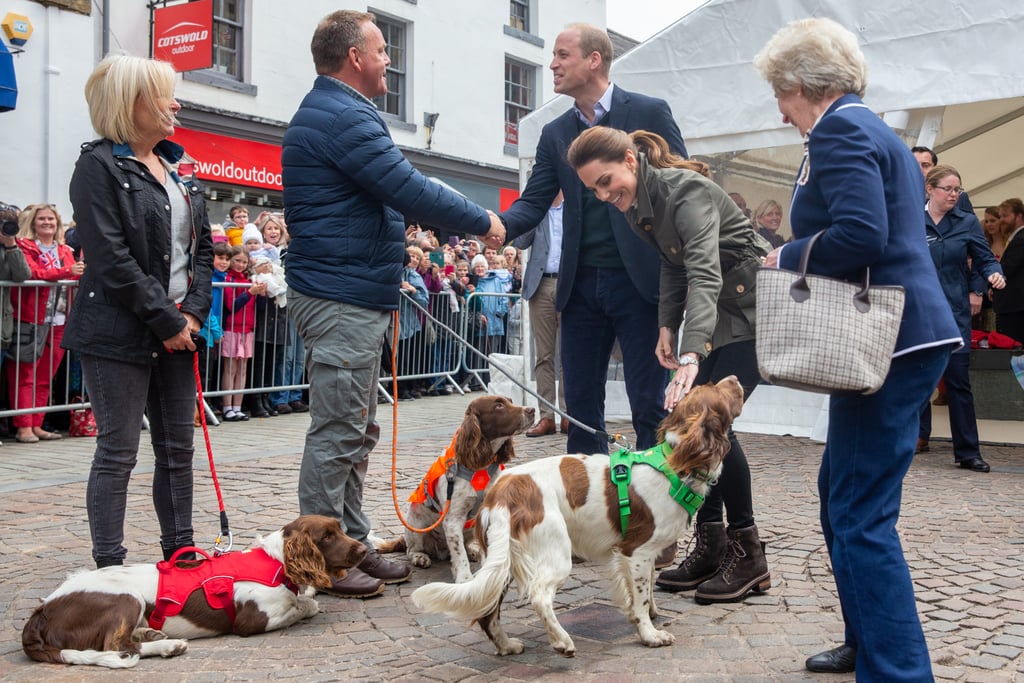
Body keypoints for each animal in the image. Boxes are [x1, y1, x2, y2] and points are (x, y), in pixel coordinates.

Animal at [22, 518, 368, 667]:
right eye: (326, 536)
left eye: (340, 528)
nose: (365, 550)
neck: (277, 562)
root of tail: (41, 613)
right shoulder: (252, 620)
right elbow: (302, 605)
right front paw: (306, 602)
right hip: (125, 599)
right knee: (116, 647)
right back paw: (166, 645)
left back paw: (155, 636)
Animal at [376, 395, 536, 581]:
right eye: (499, 406)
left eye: (510, 401)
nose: (532, 410)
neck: (479, 466)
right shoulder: (453, 520)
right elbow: (459, 555)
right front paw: (465, 579)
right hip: (416, 524)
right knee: (411, 550)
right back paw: (420, 558)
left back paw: (472, 551)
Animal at [413, 376, 745, 659]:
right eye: (717, 389)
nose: (735, 378)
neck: (674, 466)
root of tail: (505, 490)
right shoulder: (636, 551)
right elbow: (640, 595)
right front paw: (650, 633)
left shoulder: (646, 554)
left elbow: (647, 590)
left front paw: (649, 616)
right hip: (555, 550)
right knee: (539, 596)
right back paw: (562, 641)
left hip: (502, 558)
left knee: (488, 610)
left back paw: (507, 646)